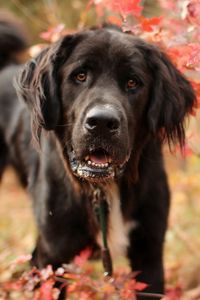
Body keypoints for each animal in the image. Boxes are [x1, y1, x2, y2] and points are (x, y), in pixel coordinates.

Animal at [0, 14, 196, 300]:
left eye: (133, 83)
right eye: (80, 76)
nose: (102, 122)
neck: (102, 188)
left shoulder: (149, 253)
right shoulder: (55, 256)